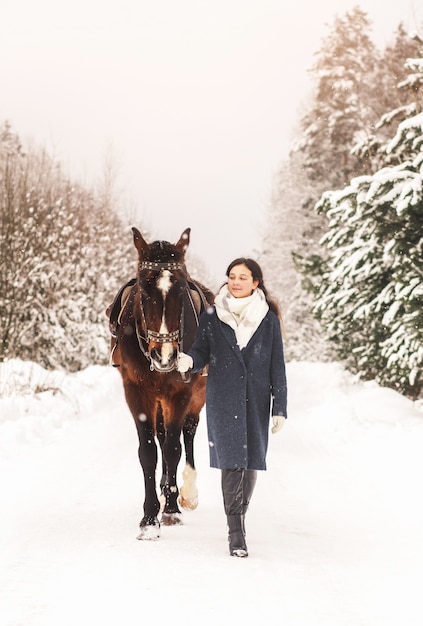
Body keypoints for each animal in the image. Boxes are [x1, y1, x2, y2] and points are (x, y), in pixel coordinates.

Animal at [109, 227, 214, 540]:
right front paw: (148, 517)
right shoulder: (136, 392)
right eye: (144, 291)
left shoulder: (180, 392)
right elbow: (148, 452)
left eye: (180, 290)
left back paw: (186, 492)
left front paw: (170, 508)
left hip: (196, 395)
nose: (165, 356)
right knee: (161, 434)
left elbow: (172, 449)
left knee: (186, 434)